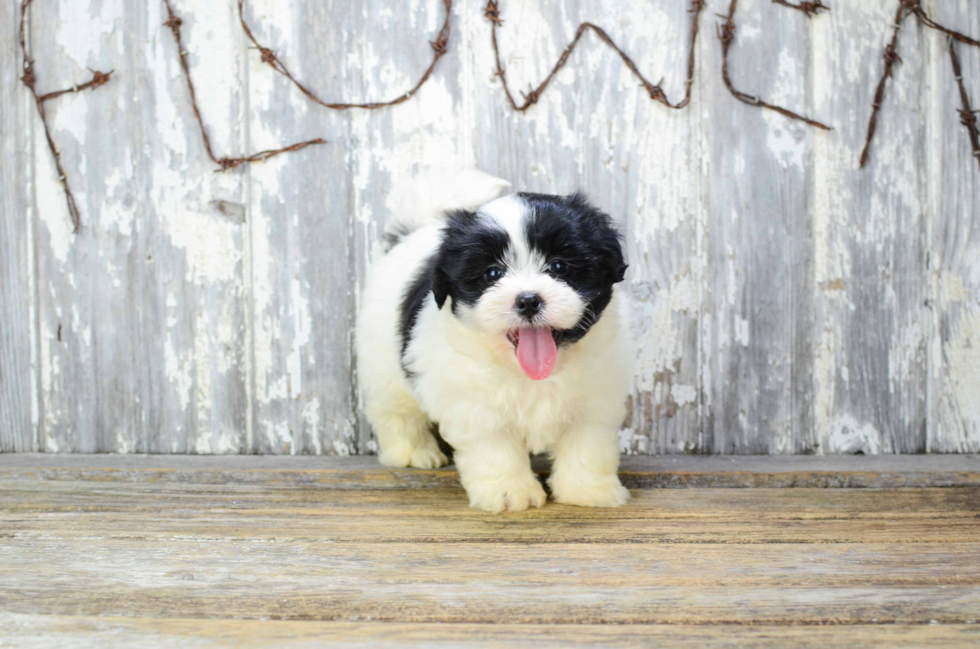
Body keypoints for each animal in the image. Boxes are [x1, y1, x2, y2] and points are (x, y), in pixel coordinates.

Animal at [356, 171, 632, 512]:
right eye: (492, 273)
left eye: (558, 266)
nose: (528, 300)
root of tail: (417, 229)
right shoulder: (475, 406)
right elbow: (495, 449)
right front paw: (509, 493)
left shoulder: (596, 399)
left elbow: (587, 444)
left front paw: (588, 491)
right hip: (383, 362)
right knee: (396, 411)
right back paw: (412, 453)